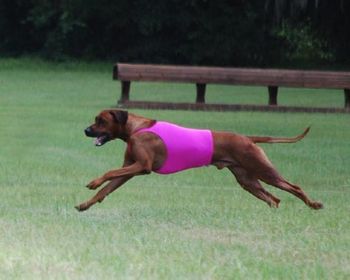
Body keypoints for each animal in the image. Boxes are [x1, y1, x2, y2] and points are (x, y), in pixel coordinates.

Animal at [75, 110, 324, 211]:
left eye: (101, 120)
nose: (86, 130)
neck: (136, 128)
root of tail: (247, 137)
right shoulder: (129, 169)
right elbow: (106, 190)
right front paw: (85, 204)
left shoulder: (141, 167)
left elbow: (109, 173)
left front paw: (93, 182)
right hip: (247, 179)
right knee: (273, 198)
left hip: (263, 169)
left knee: (293, 187)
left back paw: (313, 204)